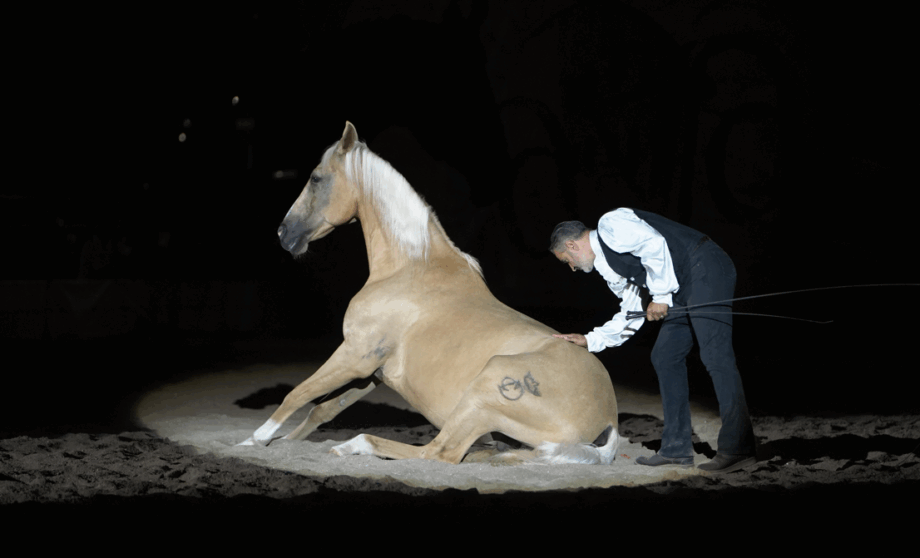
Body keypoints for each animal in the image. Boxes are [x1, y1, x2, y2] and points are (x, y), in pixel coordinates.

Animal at [239, 122, 619, 465]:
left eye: (316, 178)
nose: (284, 233)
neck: (409, 268)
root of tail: (609, 419)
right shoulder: (369, 373)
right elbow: (321, 409)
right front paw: (282, 443)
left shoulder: (354, 356)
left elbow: (297, 393)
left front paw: (251, 441)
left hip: (487, 387)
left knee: (440, 452)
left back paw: (352, 446)